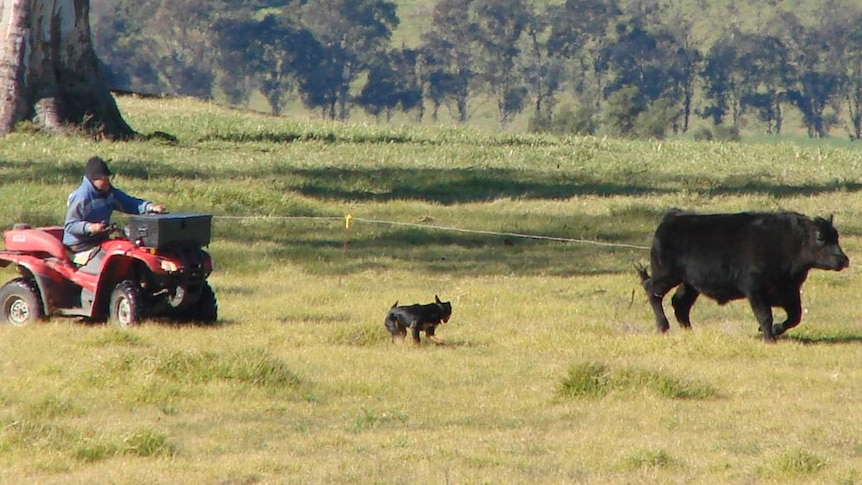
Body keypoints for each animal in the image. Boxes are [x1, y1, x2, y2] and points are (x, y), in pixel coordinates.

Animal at [636, 210, 852, 342]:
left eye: (837, 236)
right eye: (820, 237)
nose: (843, 260)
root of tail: (673, 217)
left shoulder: (790, 293)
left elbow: (794, 317)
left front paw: (772, 332)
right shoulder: (755, 290)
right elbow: (765, 315)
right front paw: (769, 338)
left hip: (689, 285)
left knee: (680, 303)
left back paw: (689, 331)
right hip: (666, 276)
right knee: (652, 290)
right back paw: (663, 326)